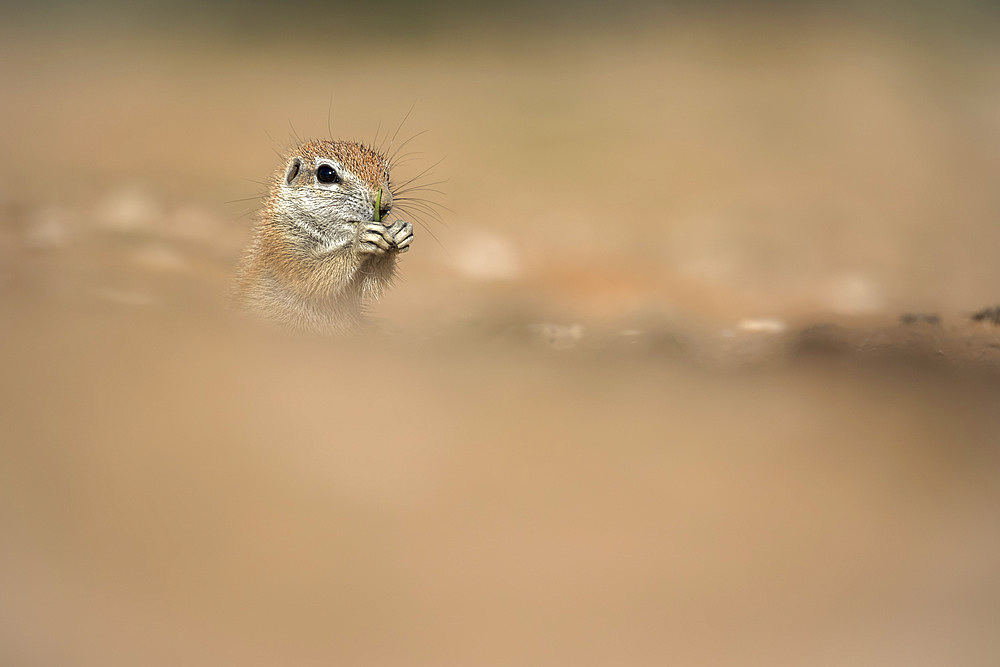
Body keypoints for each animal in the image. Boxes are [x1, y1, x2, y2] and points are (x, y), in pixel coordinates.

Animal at [232, 139, 412, 334]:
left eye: (387, 175)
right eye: (326, 174)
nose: (385, 205)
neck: (335, 238)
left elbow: (367, 286)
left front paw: (401, 232)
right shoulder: (281, 245)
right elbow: (310, 275)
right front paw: (360, 241)